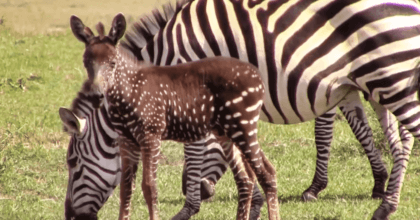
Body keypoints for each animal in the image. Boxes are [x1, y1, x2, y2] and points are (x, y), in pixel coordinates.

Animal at [68, 13, 278, 220]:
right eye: (85, 63)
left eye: (112, 63)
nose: (96, 95)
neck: (127, 94)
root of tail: (258, 76)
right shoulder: (126, 140)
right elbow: (126, 189)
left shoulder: (150, 136)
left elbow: (149, 187)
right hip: (226, 132)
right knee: (247, 178)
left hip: (243, 126)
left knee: (265, 174)